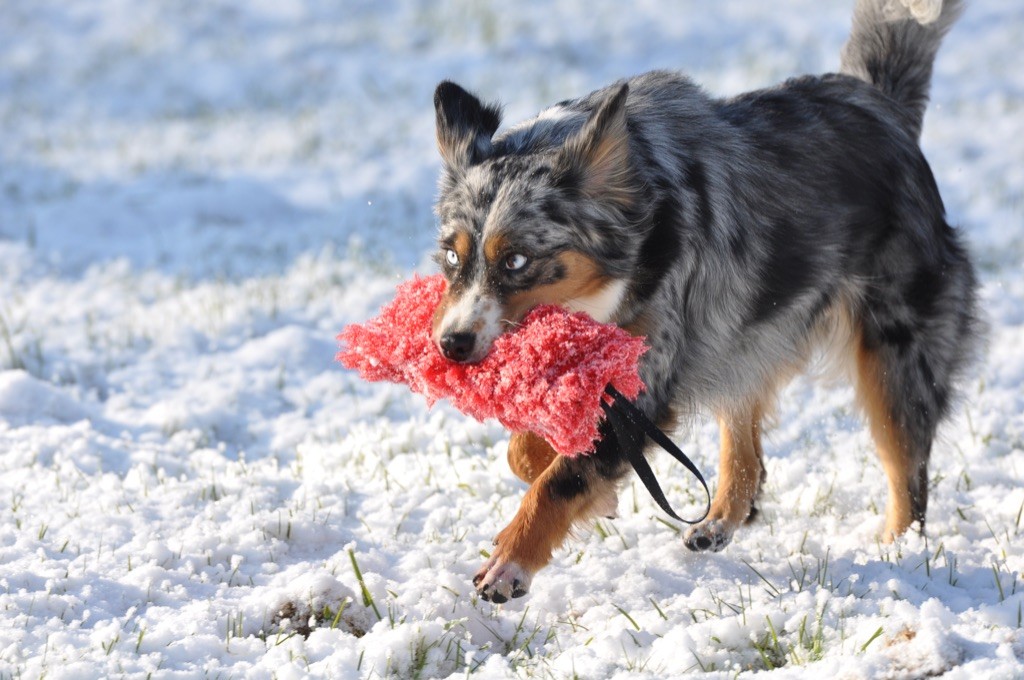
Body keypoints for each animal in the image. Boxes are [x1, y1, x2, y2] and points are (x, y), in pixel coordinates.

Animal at [423, 0, 974, 606]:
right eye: (452, 257)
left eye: (516, 260)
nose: (451, 344)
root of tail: (880, 104)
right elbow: (526, 452)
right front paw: (586, 483)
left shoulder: (650, 373)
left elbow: (563, 478)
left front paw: (508, 564)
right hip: (744, 332)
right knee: (747, 445)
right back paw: (721, 521)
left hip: (893, 352)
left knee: (907, 468)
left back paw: (898, 555)